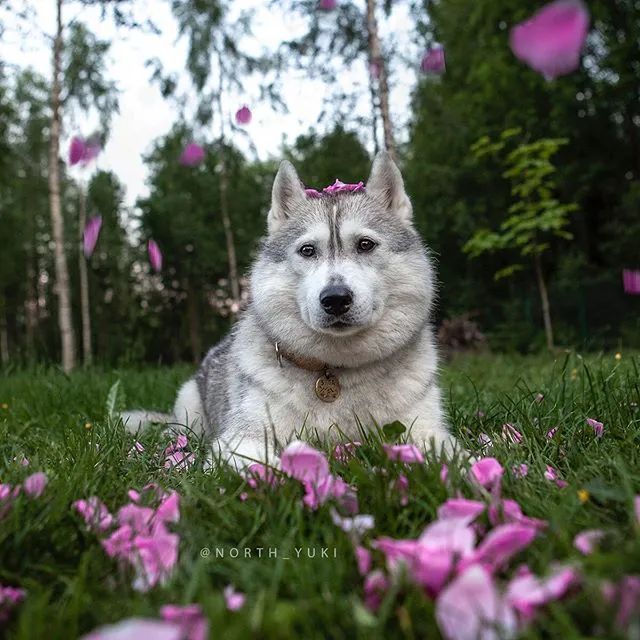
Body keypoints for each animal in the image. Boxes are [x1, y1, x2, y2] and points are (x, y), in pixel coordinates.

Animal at [121, 152, 460, 468]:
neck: (335, 371)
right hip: (190, 403)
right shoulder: (240, 439)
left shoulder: (426, 432)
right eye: (307, 250)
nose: (335, 299)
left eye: (365, 244)